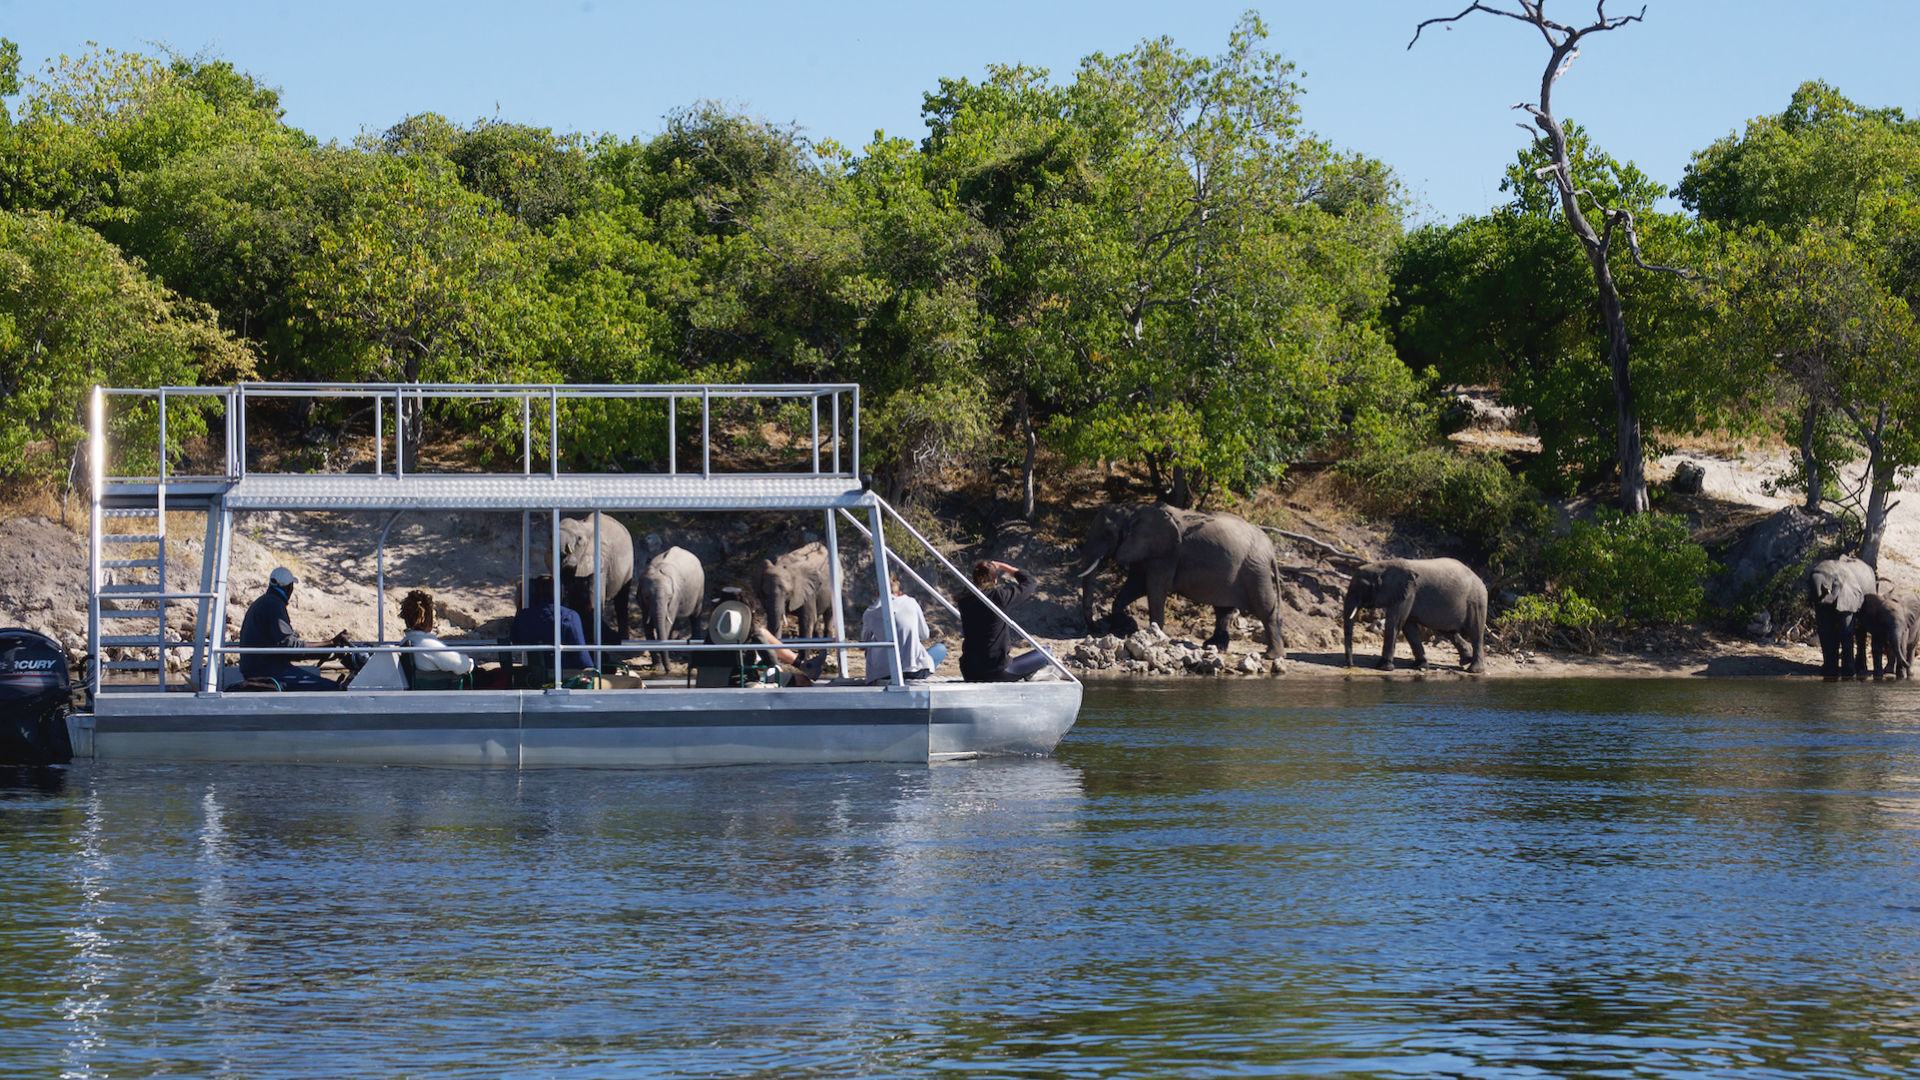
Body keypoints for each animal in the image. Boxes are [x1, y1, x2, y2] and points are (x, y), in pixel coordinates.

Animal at [1075, 503, 1282, 657]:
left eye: (1107, 534)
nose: (1098, 629)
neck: (1134, 510)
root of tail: (1272, 550)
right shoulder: (1146, 551)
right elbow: (1134, 586)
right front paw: (1126, 628)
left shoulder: (1165, 553)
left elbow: (1154, 588)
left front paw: (1153, 635)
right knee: (1223, 610)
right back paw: (1213, 647)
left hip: (1255, 569)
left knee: (1264, 608)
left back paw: (1271, 655)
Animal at [1344, 557, 1489, 668]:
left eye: (1362, 586)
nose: (1351, 665)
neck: (1382, 566)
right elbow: (1408, 627)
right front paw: (1420, 665)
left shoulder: (1408, 592)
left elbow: (1395, 622)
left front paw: (1383, 667)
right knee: (1448, 631)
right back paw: (1465, 661)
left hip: (1477, 601)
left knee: (1476, 633)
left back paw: (1474, 670)